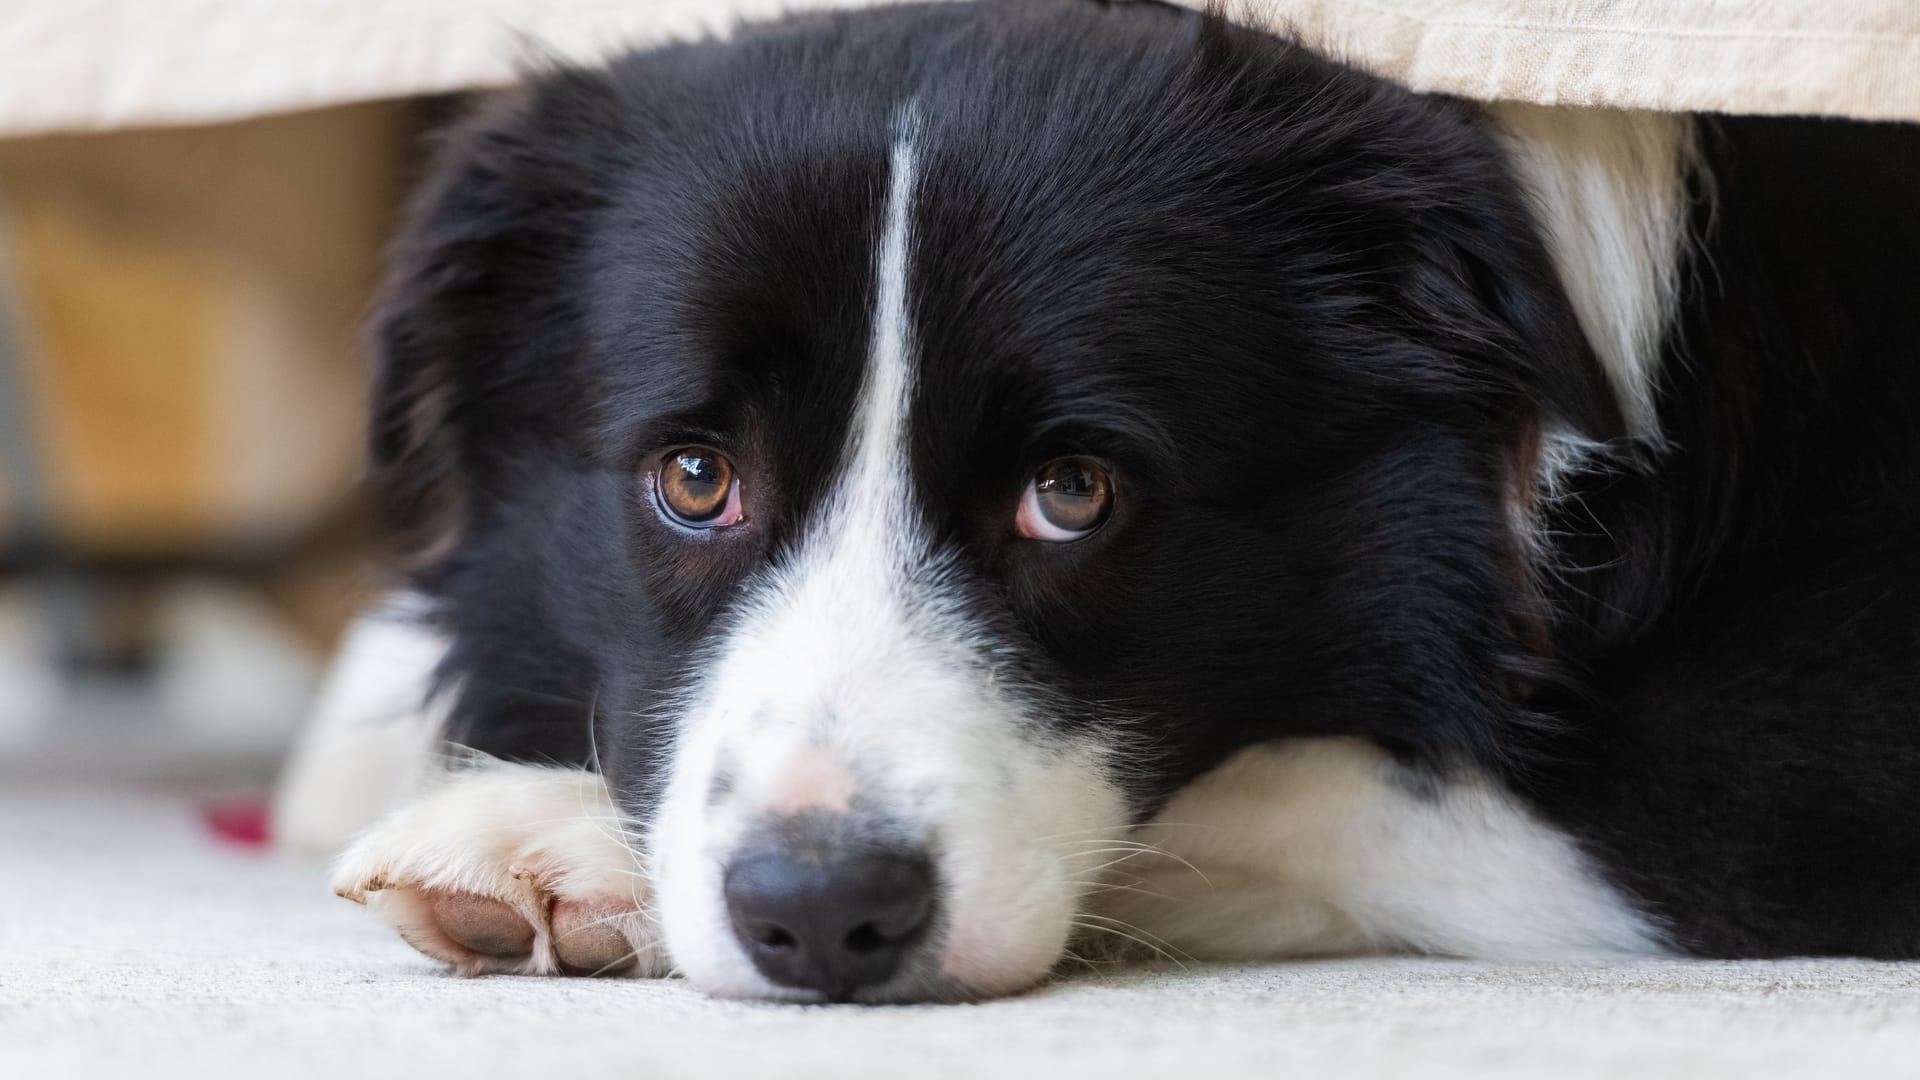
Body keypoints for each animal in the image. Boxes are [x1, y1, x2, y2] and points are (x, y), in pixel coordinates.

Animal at [288, 0, 1920, 999]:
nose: (819, 911)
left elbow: (1291, 788)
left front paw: (542, 841)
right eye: (696, 476)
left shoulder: (1809, 749)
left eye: (1073, 493)